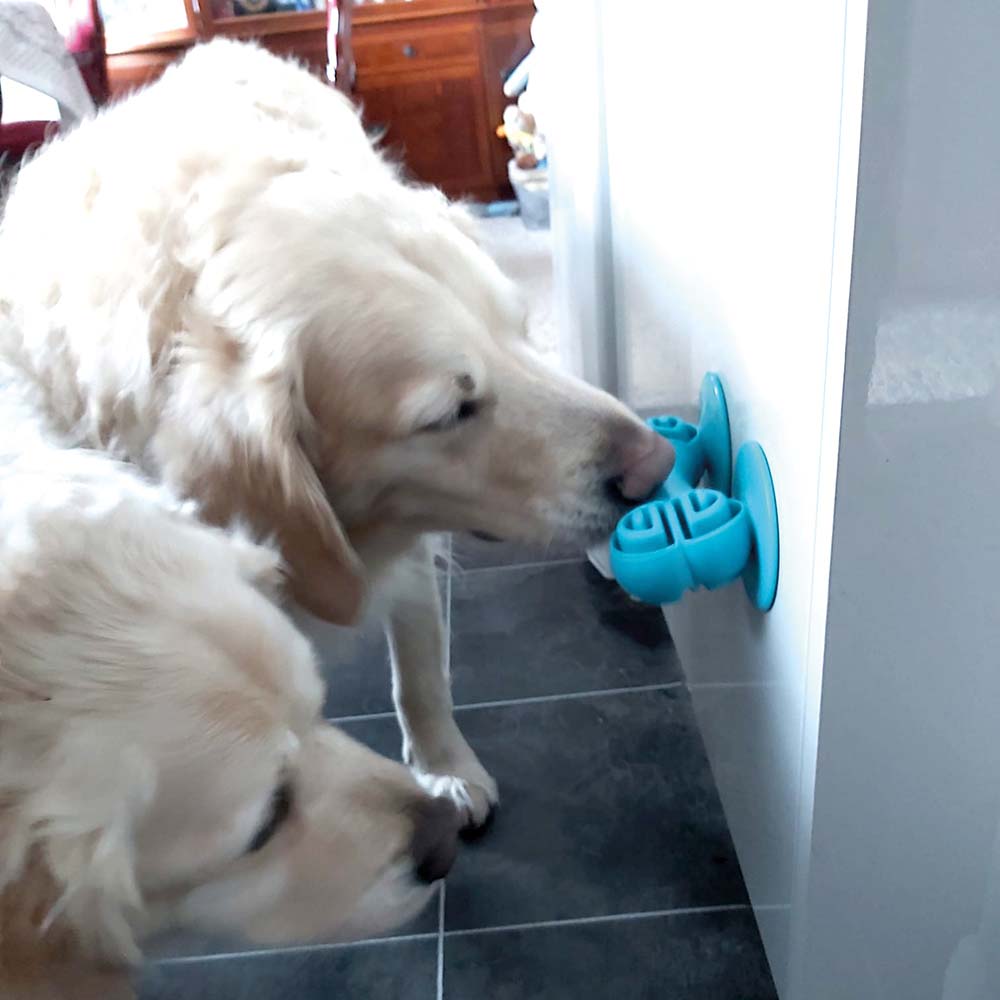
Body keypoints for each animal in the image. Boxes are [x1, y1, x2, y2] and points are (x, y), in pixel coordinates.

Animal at [0, 41, 672, 833]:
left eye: (523, 331)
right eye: (449, 411)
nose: (656, 466)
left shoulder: (408, 541)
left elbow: (421, 669)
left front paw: (446, 767)